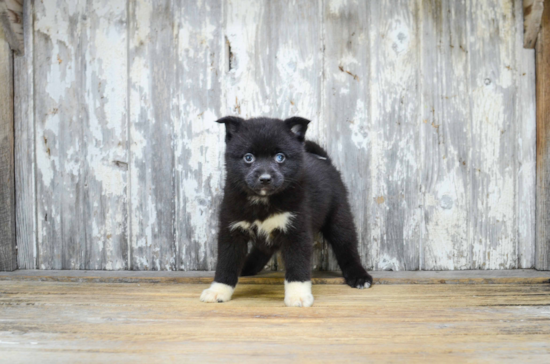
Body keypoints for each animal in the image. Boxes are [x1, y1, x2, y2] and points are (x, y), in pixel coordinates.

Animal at [203, 116, 376, 308]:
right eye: (248, 157)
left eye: (280, 157)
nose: (265, 178)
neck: (263, 202)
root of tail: (325, 161)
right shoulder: (232, 229)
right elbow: (226, 263)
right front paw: (219, 290)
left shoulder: (297, 230)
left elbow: (297, 264)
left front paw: (298, 294)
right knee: (263, 249)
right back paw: (246, 267)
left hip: (338, 216)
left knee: (347, 245)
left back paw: (359, 276)